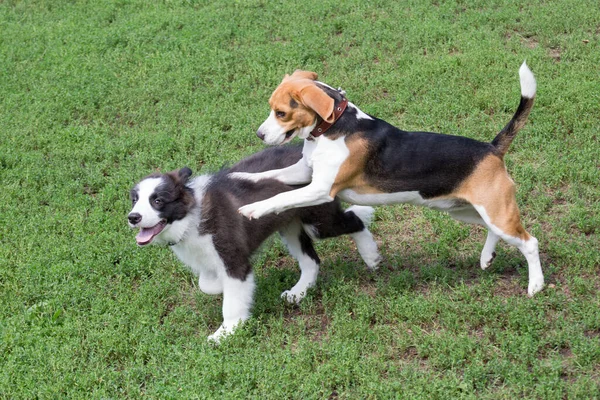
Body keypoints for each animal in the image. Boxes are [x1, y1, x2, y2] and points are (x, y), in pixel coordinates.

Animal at [127, 145, 380, 342]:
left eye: (158, 201)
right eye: (134, 200)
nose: (133, 217)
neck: (191, 216)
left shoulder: (234, 258)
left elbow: (232, 299)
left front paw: (227, 332)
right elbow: (206, 284)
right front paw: (218, 286)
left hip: (318, 221)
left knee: (355, 220)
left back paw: (371, 256)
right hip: (290, 226)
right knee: (311, 260)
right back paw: (298, 293)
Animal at [233, 62, 544, 296]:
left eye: (281, 113)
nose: (259, 135)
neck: (335, 125)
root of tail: (492, 148)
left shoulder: (321, 189)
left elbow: (282, 196)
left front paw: (253, 208)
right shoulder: (304, 172)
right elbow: (270, 175)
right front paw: (240, 176)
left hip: (495, 211)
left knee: (529, 242)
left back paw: (536, 285)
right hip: (468, 211)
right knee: (496, 231)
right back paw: (486, 257)